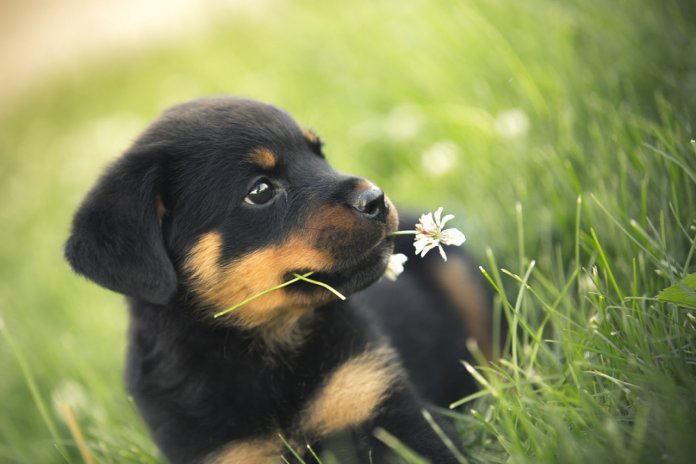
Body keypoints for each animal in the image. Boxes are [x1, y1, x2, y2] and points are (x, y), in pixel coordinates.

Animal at [64, 96, 490, 462]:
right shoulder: (228, 452)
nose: (375, 198)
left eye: (319, 153)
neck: (265, 347)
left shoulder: (381, 402)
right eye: (260, 191)